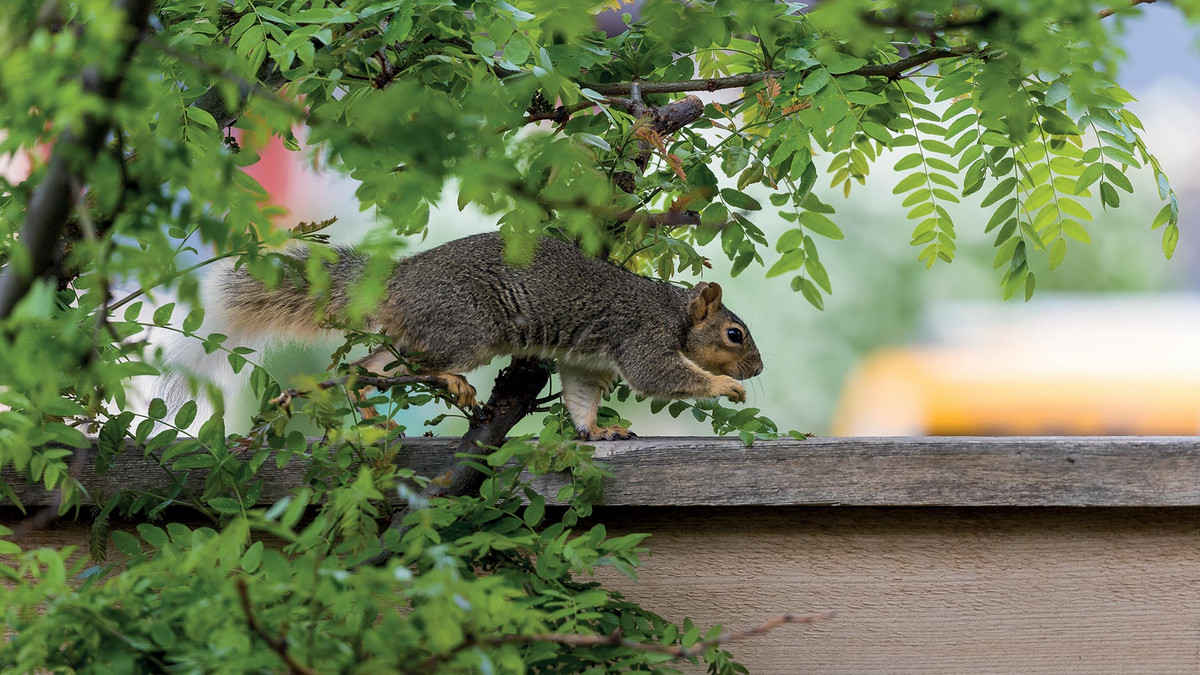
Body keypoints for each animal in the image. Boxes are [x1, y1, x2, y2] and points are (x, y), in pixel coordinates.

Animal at [175, 230, 763, 441]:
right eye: (735, 334)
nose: (757, 370)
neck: (674, 313)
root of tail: (399, 279)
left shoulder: (587, 363)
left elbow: (579, 399)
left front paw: (596, 431)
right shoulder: (641, 336)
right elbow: (658, 374)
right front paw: (725, 388)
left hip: (418, 336)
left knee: (365, 369)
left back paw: (360, 402)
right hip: (465, 330)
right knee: (423, 365)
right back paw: (450, 384)